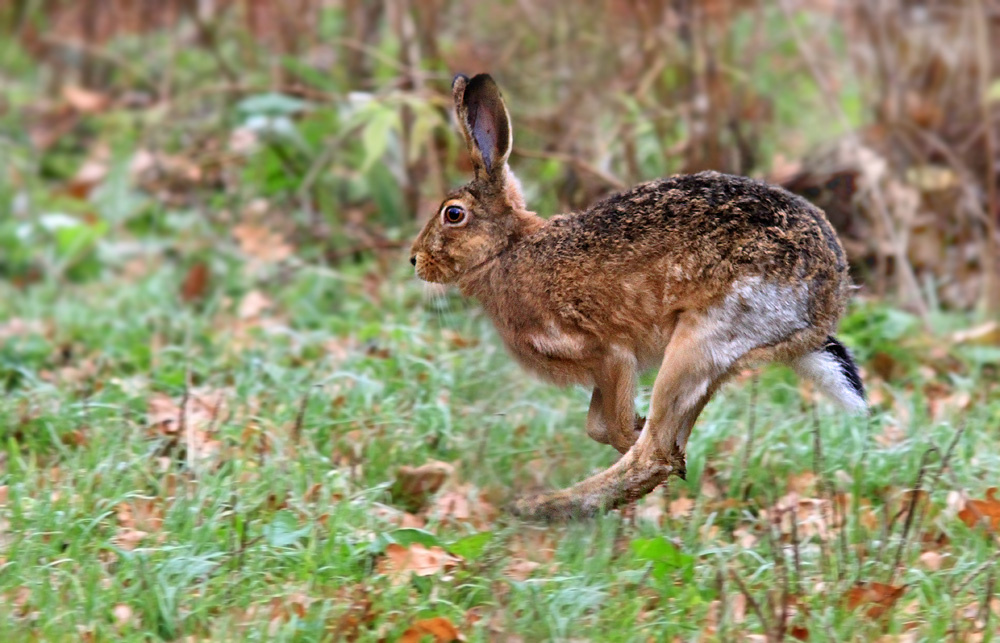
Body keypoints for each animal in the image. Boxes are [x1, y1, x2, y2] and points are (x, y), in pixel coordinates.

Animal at [410, 73, 866, 520]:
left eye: (453, 214)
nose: (415, 259)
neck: (507, 250)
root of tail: (828, 299)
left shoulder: (608, 352)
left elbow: (608, 423)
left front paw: (631, 431)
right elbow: (597, 425)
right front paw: (637, 427)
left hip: (700, 339)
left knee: (653, 456)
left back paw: (543, 506)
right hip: (714, 357)